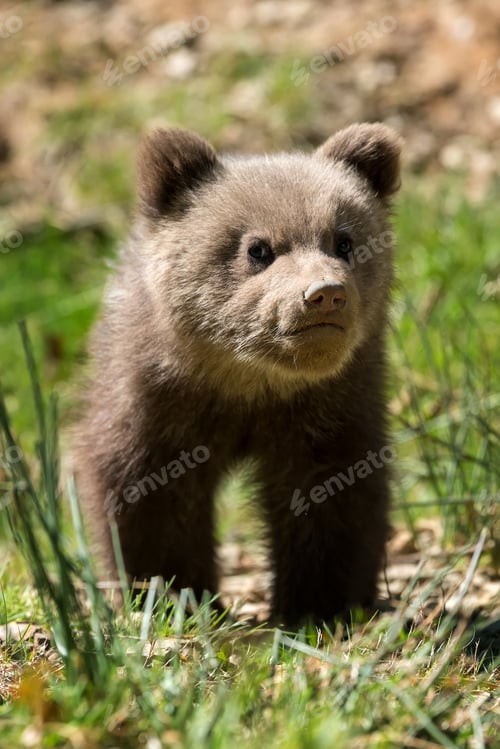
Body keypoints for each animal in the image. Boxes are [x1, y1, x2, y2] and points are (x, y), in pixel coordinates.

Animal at [73, 122, 402, 625]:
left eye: (343, 240)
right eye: (258, 248)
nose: (324, 294)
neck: (248, 379)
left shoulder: (330, 404)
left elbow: (332, 493)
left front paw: (320, 604)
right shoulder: (158, 402)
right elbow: (148, 494)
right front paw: (169, 593)